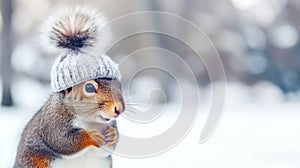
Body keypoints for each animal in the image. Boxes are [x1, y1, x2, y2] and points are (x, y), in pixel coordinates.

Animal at [13, 5, 124, 167]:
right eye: (89, 88)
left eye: (118, 84)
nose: (119, 109)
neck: (90, 121)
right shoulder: (53, 122)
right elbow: (63, 141)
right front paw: (91, 136)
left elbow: (106, 149)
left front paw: (113, 135)